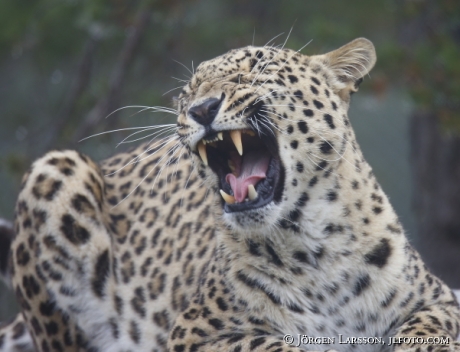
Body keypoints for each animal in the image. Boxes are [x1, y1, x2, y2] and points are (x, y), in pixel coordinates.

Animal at [0, 37, 460, 350]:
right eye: (189, 89)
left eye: (257, 69)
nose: (201, 109)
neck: (316, 247)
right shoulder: (195, 334)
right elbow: (270, 343)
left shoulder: (438, 300)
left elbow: (426, 328)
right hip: (54, 169)